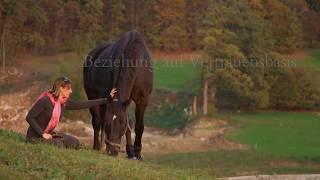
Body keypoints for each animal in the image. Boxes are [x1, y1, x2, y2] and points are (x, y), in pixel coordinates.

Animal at [82, 31, 152, 159]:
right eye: (108, 123)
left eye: (121, 123)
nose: (112, 151)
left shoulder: (142, 100)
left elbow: (138, 126)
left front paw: (136, 153)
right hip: (93, 97)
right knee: (96, 122)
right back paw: (97, 146)